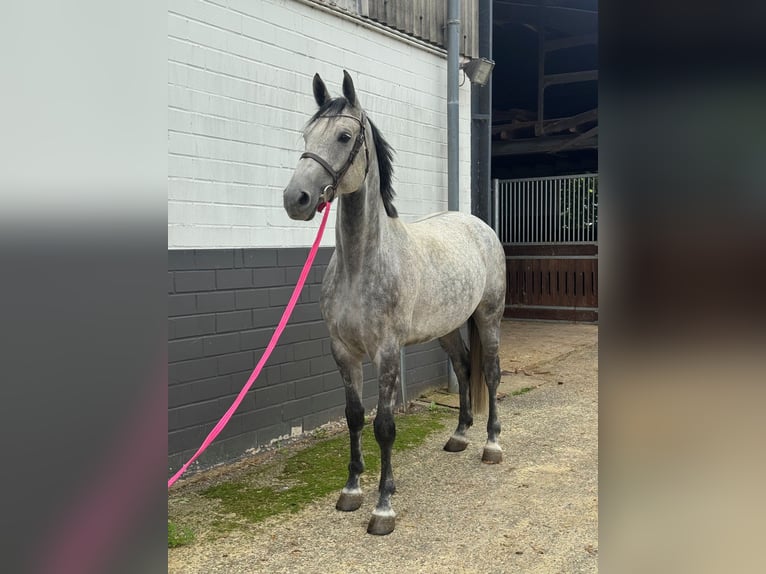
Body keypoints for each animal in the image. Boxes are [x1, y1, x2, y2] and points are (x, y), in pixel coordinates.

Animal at [283, 71, 506, 535]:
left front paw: (383, 506)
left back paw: (492, 444)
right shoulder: (343, 351)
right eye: (306, 135)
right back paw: (459, 436)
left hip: (489, 317)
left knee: (491, 374)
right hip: (446, 328)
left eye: (345, 136)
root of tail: (477, 224)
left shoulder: (386, 352)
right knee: (463, 367)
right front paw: (351, 489)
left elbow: (384, 425)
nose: (296, 199)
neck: (361, 264)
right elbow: (354, 415)